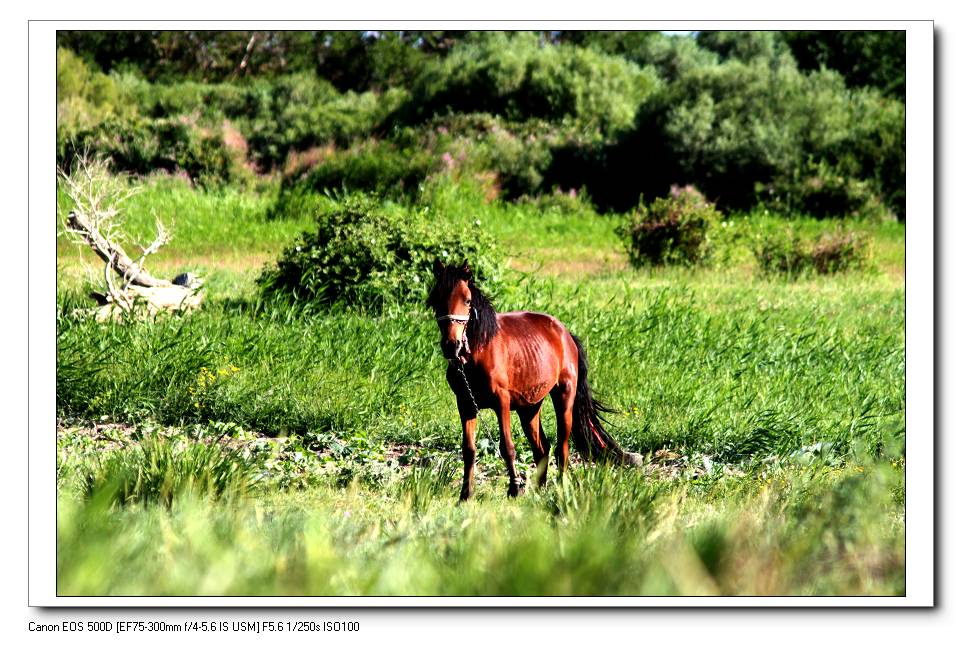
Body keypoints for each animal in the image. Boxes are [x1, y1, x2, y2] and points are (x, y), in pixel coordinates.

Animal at [426, 260, 636, 502]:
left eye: (467, 300)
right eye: (436, 300)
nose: (452, 346)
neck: (479, 350)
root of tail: (565, 334)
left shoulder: (502, 402)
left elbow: (507, 447)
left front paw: (514, 489)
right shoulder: (466, 404)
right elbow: (468, 449)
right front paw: (465, 495)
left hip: (564, 397)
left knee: (562, 449)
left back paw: (560, 489)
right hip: (529, 407)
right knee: (542, 449)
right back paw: (538, 490)